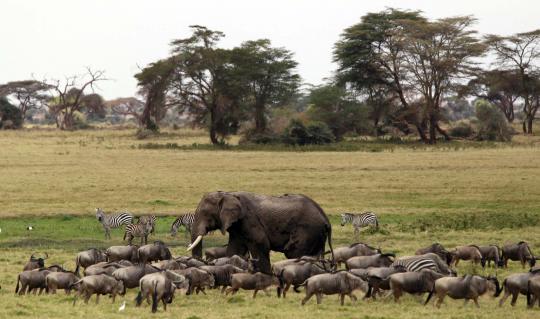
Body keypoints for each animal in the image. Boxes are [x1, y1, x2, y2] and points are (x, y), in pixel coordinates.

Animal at [189, 192, 334, 276]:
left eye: (206, 214)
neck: (227, 194)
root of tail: (326, 220)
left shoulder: (249, 220)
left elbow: (260, 243)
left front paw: (265, 274)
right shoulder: (237, 227)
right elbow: (234, 249)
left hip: (308, 231)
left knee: (294, 252)